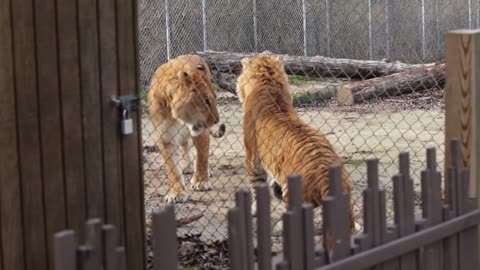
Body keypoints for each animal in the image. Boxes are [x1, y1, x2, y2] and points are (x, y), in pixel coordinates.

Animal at [147, 54, 226, 202]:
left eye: (215, 98)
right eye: (206, 101)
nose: (216, 121)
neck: (176, 117)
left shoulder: (201, 132)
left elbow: (202, 157)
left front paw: (201, 182)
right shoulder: (165, 138)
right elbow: (172, 168)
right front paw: (177, 193)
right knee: (184, 144)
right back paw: (187, 167)